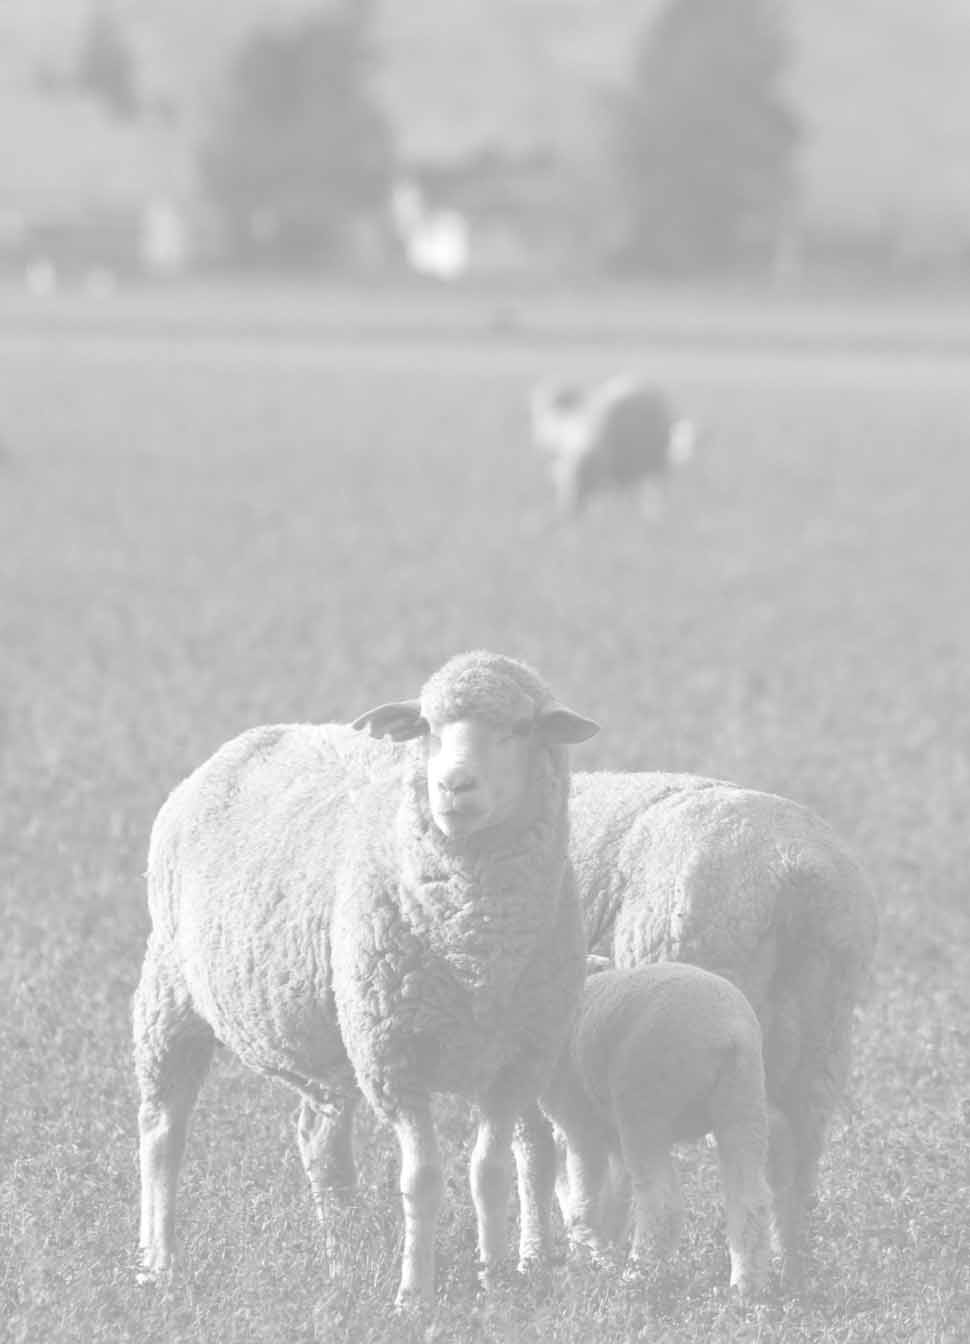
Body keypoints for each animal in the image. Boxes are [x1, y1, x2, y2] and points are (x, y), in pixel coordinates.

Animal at [132, 650, 598, 1307]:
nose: (453, 787)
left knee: (320, 1145)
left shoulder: (513, 1065)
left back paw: (343, 1267)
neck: (472, 948)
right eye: (427, 726)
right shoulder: (394, 1059)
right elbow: (422, 1178)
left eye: (522, 728)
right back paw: (159, 1265)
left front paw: (497, 1282)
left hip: (331, 1045)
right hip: (171, 993)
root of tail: (258, 735)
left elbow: (489, 1173)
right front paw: (414, 1296)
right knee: (162, 1133)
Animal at [541, 956, 774, 1298]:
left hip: (643, 1106)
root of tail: (727, 1032)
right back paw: (745, 1290)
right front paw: (602, 1255)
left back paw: (636, 1281)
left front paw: (583, 1265)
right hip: (743, 1101)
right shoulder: (609, 1134)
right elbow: (615, 1199)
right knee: (750, 1200)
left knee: (661, 1205)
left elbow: (584, 1199)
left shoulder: (579, 1123)